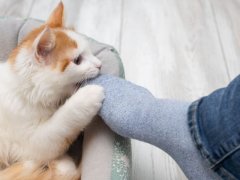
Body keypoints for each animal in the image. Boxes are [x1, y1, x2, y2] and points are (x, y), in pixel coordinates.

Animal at [0, 1, 104, 180]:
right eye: (77, 60)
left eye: (90, 52)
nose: (100, 64)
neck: (27, 92)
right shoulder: (32, 143)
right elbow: (62, 124)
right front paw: (88, 96)